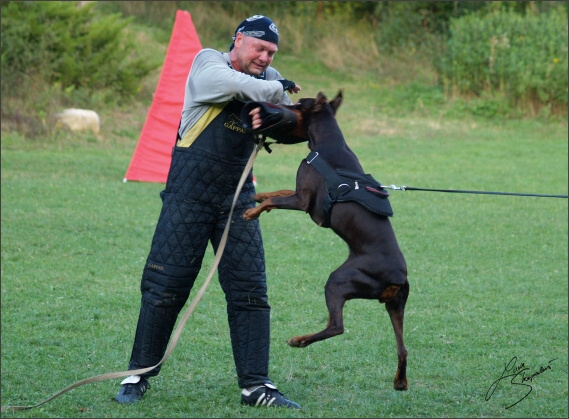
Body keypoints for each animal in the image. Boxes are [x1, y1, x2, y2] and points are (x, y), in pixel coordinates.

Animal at [242, 91, 406, 390]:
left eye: (296, 105)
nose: (279, 107)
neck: (327, 142)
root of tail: (398, 277)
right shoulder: (299, 194)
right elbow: (276, 193)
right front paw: (258, 196)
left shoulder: (303, 200)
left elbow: (277, 199)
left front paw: (252, 211)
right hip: (395, 306)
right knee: (403, 348)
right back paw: (401, 381)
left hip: (339, 280)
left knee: (337, 326)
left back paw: (299, 340)